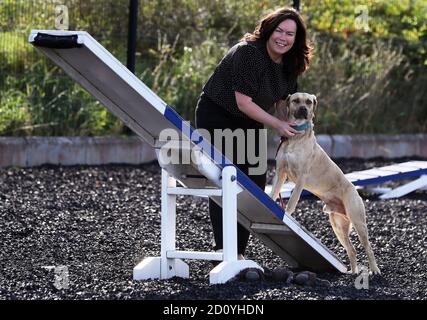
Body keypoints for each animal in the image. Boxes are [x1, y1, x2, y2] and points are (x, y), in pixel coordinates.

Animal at [270, 91, 382, 274]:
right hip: (338, 226)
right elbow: (273, 192)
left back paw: (375, 270)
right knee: (352, 249)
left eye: (309, 102)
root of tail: (355, 190)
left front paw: (287, 214)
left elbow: (292, 200)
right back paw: (352, 272)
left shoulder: (301, 177)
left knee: (368, 247)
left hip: (359, 223)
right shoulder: (281, 172)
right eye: (295, 101)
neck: (297, 137)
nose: (303, 109)